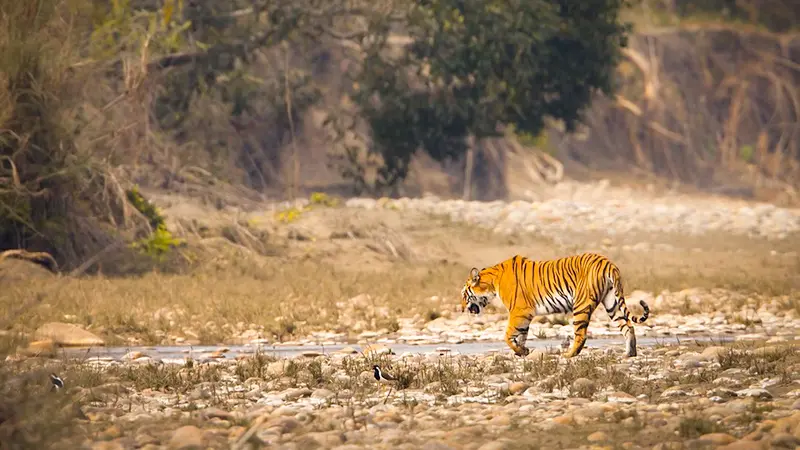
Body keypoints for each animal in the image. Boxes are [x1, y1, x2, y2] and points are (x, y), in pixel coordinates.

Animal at [461, 252, 650, 358]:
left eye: (464, 294)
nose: (462, 308)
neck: (492, 282)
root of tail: (607, 262)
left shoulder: (519, 311)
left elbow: (507, 335)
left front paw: (521, 352)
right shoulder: (524, 316)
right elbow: (521, 336)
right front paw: (521, 352)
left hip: (581, 305)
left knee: (581, 334)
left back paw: (569, 355)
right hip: (612, 303)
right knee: (628, 327)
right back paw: (629, 354)